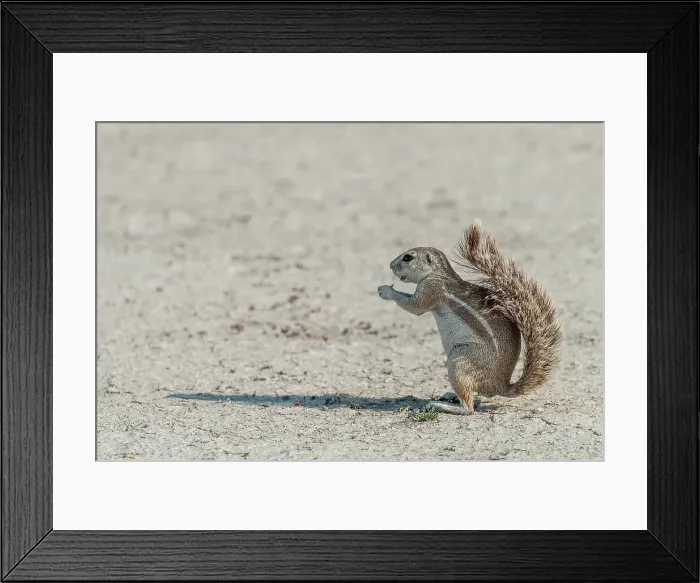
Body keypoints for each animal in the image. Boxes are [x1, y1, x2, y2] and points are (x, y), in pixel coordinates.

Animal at [378, 221, 563, 415]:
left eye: (408, 257)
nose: (390, 265)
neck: (437, 273)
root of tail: (500, 385)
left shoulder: (431, 289)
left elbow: (415, 306)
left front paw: (386, 290)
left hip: (459, 362)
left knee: (469, 408)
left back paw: (442, 405)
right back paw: (450, 395)